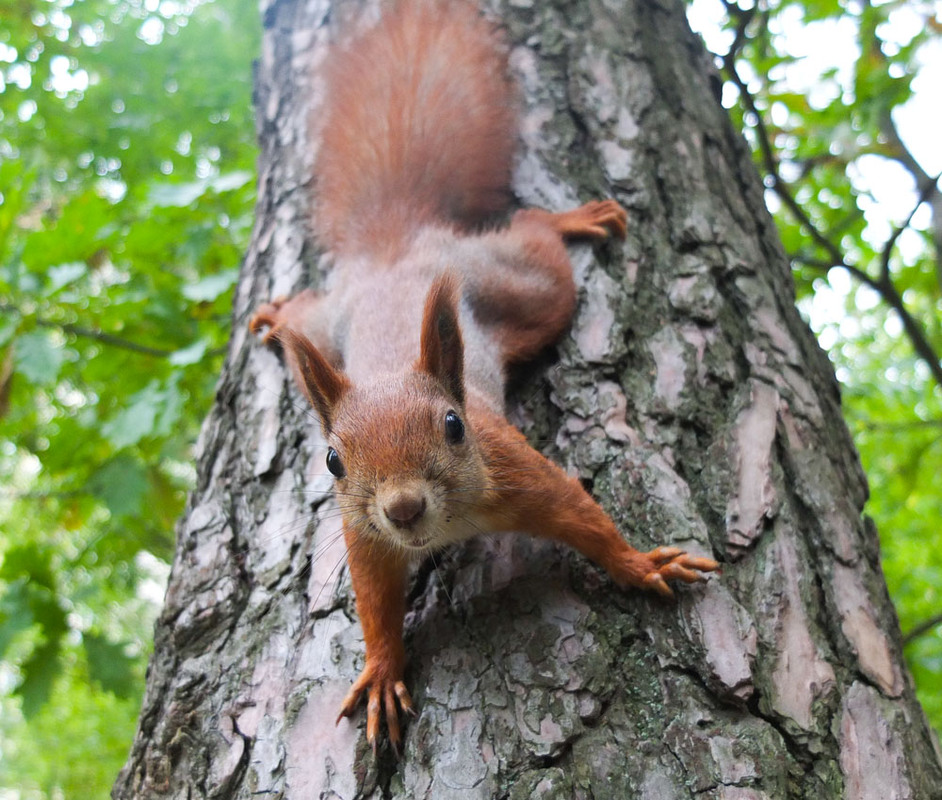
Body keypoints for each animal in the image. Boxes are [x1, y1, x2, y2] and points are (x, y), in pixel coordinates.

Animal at [249, 0, 716, 752]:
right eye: (331, 462)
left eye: (454, 425)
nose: (403, 508)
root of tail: (397, 246)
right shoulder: (364, 534)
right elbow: (374, 601)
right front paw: (383, 670)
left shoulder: (519, 471)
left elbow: (586, 517)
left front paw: (642, 565)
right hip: (325, 325)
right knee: (306, 313)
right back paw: (275, 312)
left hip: (523, 289)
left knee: (535, 236)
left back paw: (569, 218)